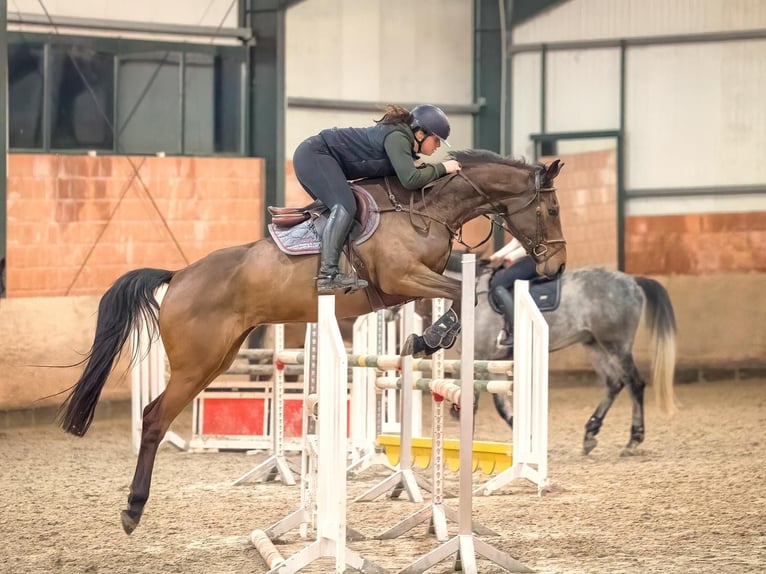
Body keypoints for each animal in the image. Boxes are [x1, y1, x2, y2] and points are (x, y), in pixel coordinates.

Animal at [57, 150, 568, 536]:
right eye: (553, 210)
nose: (557, 267)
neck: (424, 209)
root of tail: (178, 276)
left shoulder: (407, 288)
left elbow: (454, 297)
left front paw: (426, 338)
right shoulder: (402, 279)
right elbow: (458, 296)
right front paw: (429, 338)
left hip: (218, 359)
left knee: (159, 414)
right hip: (194, 366)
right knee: (154, 418)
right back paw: (133, 509)